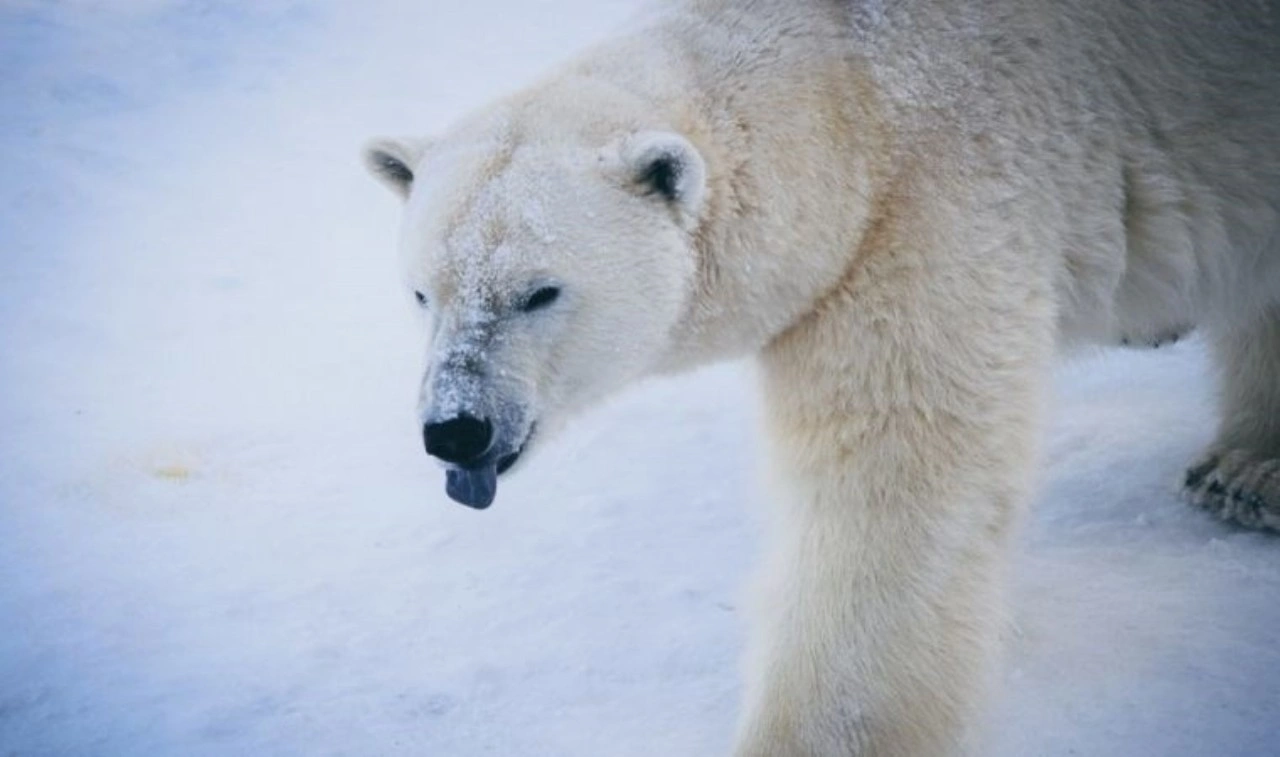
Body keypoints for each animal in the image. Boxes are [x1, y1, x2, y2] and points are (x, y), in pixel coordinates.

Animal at [363, 1, 1280, 753]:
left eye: (539, 291)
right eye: (421, 292)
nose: (456, 428)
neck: (853, 100)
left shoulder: (932, 209)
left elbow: (894, 491)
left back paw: (1245, 472)